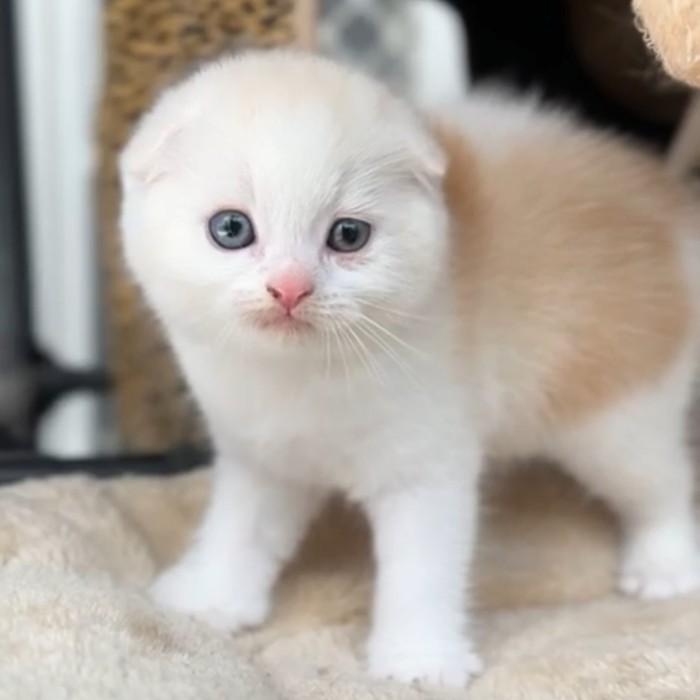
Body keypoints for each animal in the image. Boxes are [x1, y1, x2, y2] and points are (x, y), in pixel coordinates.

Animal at [117, 50, 700, 688]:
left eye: (348, 235)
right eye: (231, 229)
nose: (290, 289)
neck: (303, 375)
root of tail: (677, 215)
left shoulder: (429, 463)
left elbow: (423, 569)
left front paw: (420, 659)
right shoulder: (263, 454)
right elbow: (239, 528)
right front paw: (210, 598)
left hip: (618, 412)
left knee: (662, 484)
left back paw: (666, 567)